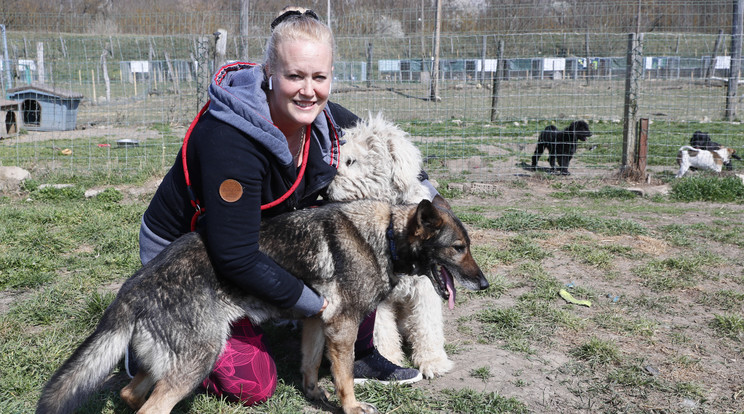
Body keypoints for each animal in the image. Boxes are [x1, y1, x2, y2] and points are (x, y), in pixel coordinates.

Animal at [36, 199, 488, 412]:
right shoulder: (341, 327)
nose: (483, 283)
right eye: (457, 248)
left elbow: (311, 366)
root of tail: (132, 288)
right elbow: (343, 378)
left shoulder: (316, 321)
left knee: (132, 393)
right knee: (150, 406)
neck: (387, 236)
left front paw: (315, 396)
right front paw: (350, 407)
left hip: (175, 361)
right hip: (199, 359)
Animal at [328, 113, 456, 378]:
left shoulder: (425, 285)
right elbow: (381, 329)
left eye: (351, 161)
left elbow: (427, 322)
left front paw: (433, 361)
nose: (326, 189)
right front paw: (388, 360)